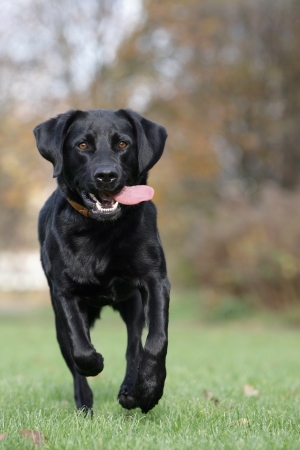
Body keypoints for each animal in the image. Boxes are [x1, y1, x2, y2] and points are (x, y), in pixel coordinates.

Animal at [33, 109, 169, 414]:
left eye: (123, 144)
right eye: (82, 145)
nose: (106, 175)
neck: (101, 231)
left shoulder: (155, 280)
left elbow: (156, 340)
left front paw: (149, 390)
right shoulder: (64, 292)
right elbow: (80, 349)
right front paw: (96, 363)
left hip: (133, 305)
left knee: (134, 347)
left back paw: (131, 389)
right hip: (58, 320)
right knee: (73, 359)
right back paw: (84, 404)